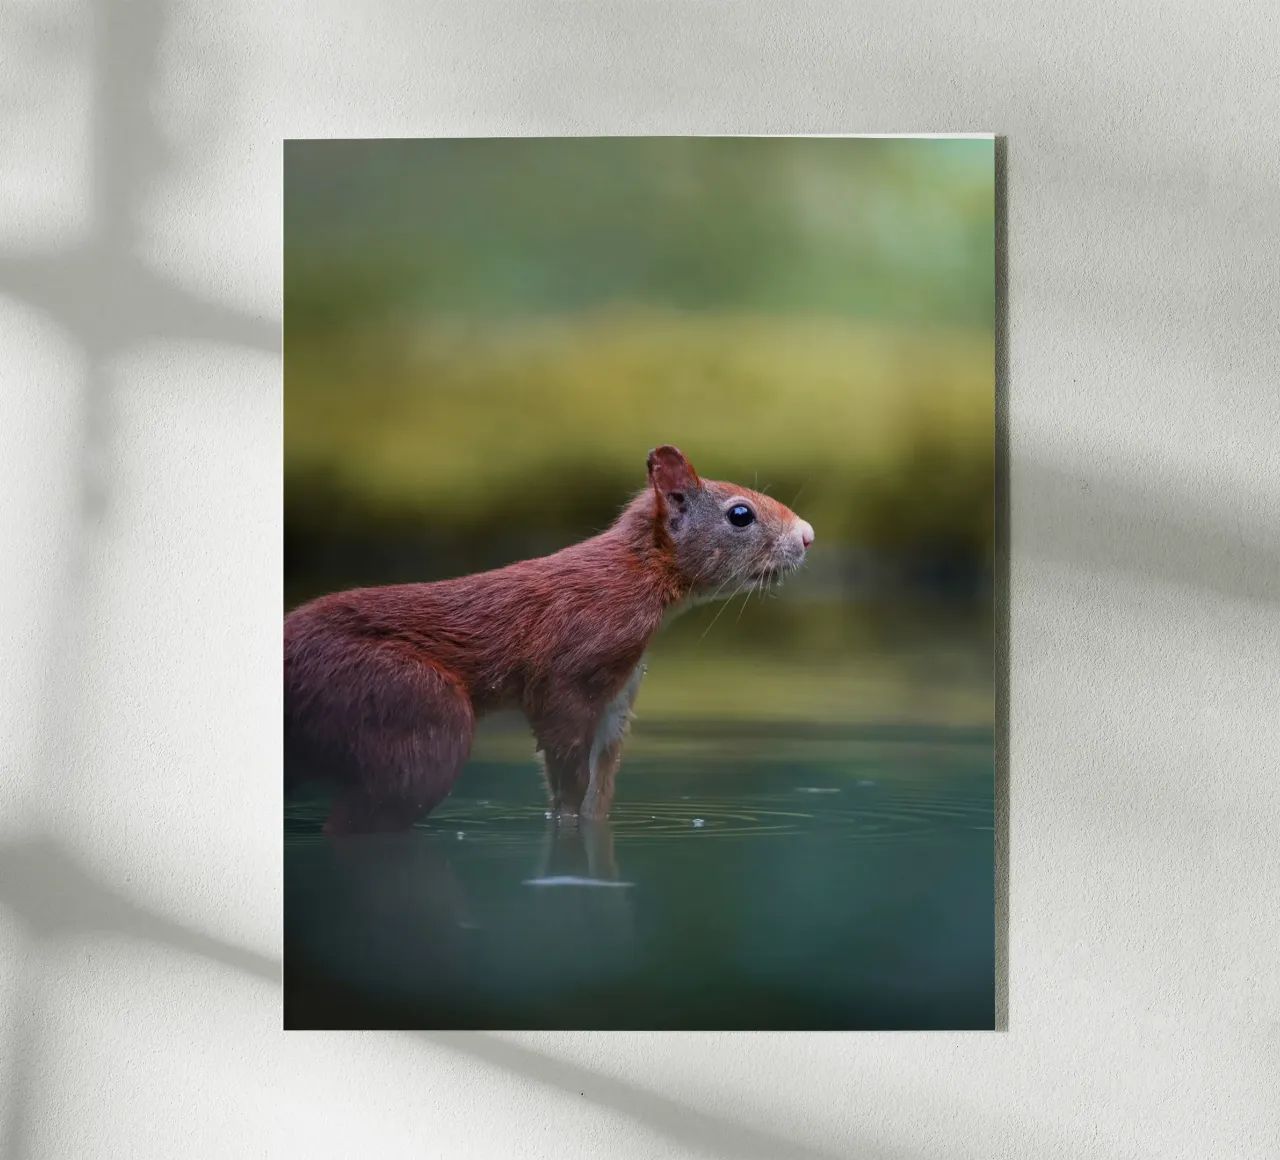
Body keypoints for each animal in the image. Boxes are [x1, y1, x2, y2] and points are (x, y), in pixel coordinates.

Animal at [284, 445, 814, 835]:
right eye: (740, 514)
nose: (807, 536)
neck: (636, 575)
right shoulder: (570, 666)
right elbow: (567, 769)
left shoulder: (618, 695)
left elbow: (599, 787)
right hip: (407, 706)